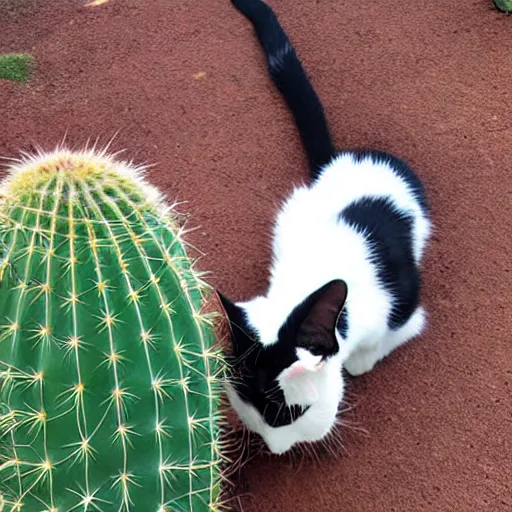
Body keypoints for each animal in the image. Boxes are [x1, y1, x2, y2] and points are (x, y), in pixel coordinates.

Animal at [218, 0, 430, 456]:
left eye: (290, 414)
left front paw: (361, 360)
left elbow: (387, 340)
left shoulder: (406, 311)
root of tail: (342, 160)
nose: (274, 449)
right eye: (248, 411)